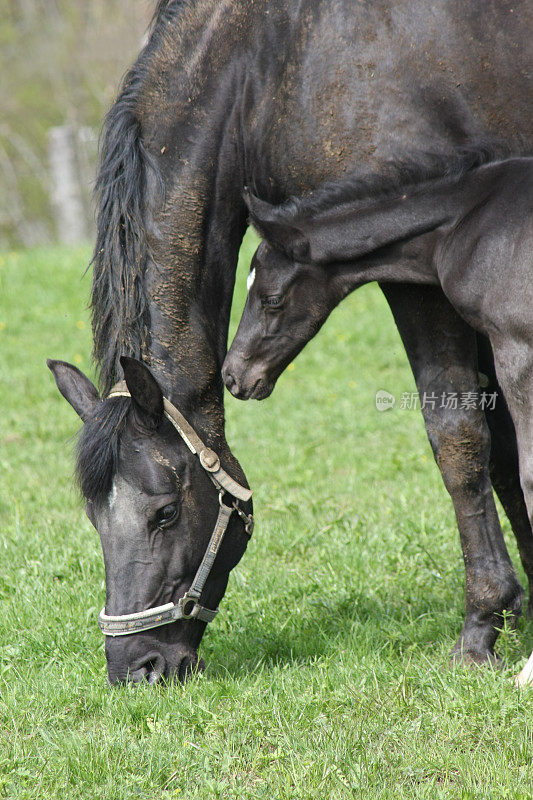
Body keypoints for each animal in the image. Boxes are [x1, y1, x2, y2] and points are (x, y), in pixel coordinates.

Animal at [47, 1, 528, 688]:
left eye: (166, 513)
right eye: (93, 517)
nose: (135, 668)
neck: (276, 57)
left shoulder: (420, 280)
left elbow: (459, 439)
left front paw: (482, 627)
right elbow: (506, 447)